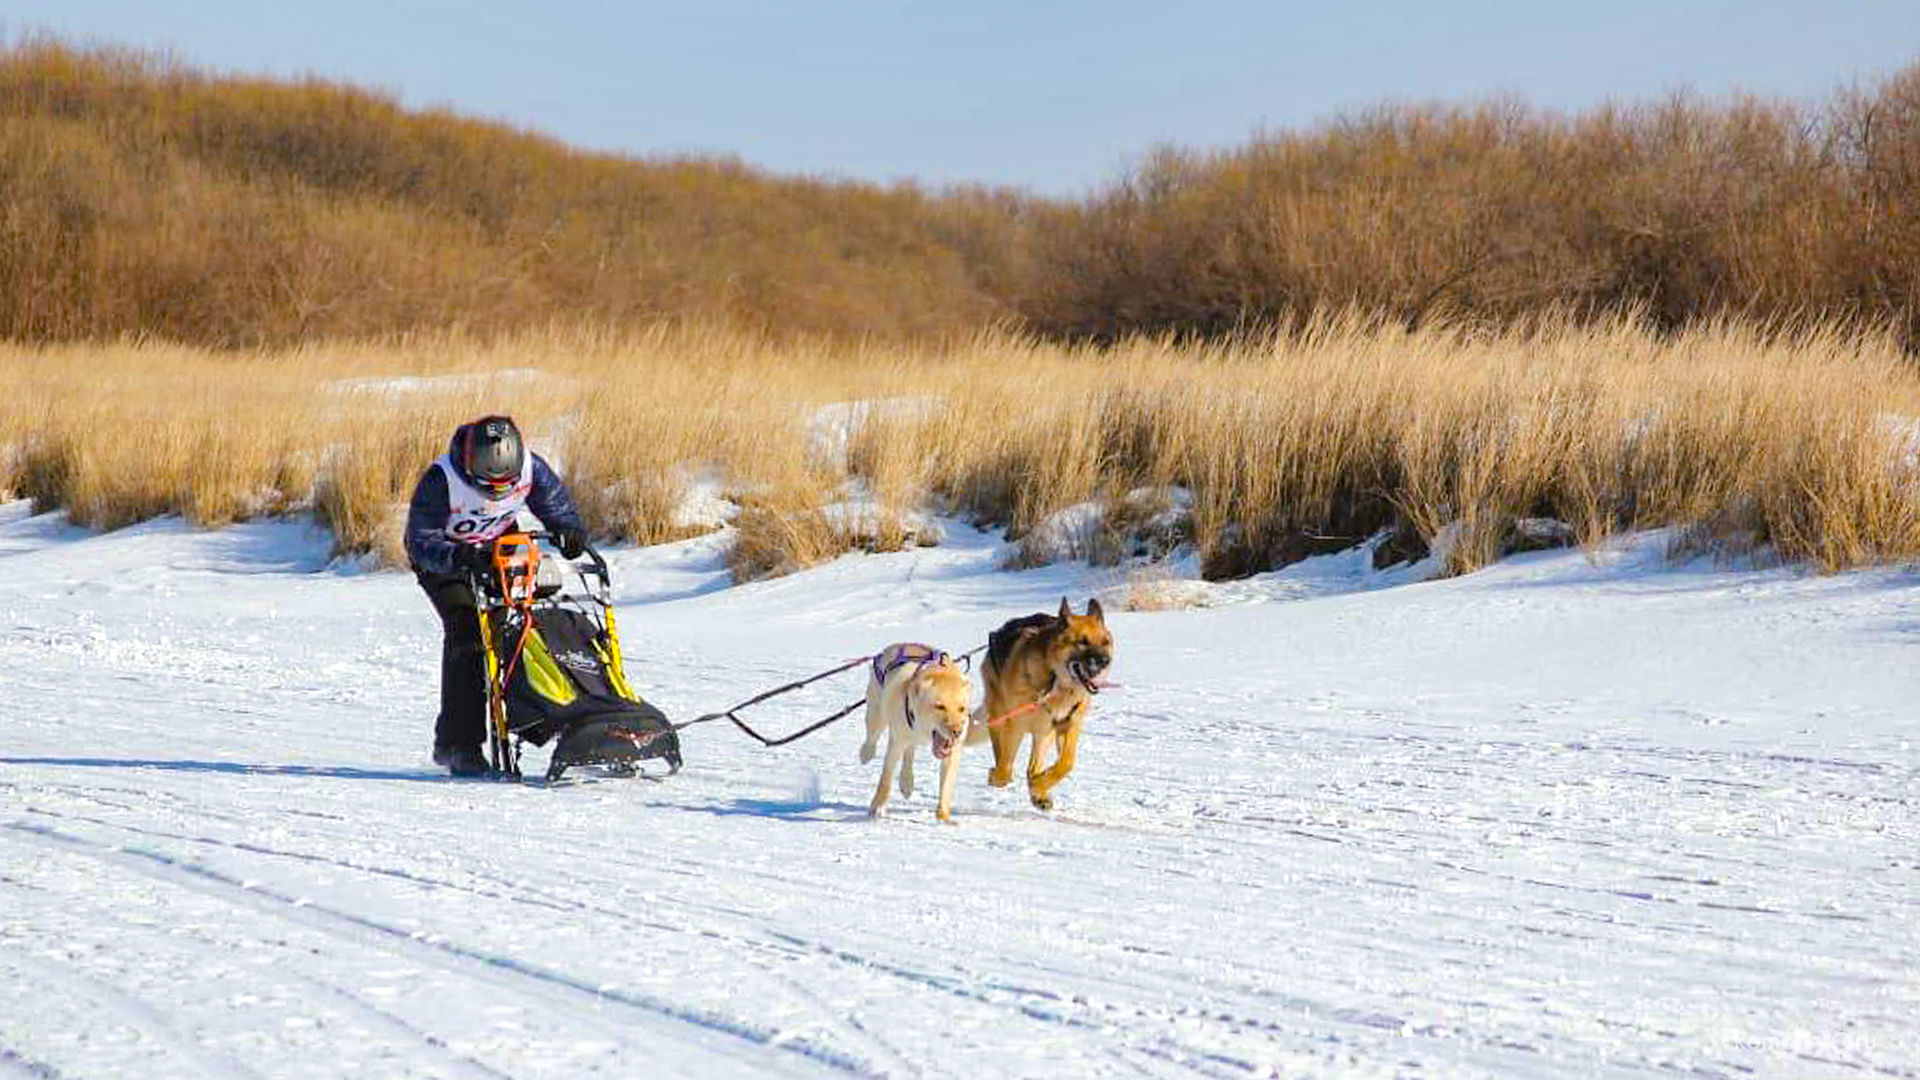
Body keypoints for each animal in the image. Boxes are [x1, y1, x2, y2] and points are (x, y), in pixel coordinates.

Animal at [860, 645, 975, 814]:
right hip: (877, 715)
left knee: (909, 751)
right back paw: (866, 754)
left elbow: (946, 786)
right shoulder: (896, 742)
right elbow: (886, 778)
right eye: (940, 706)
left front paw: (943, 814)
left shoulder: (952, 752)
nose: (957, 731)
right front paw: (878, 805)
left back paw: (906, 782)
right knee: (872, 737)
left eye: (962, 708)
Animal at [967, 595, 1121, 807]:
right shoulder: (1016, 724)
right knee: (1000, 749)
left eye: (1105, 642)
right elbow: (1006, 767)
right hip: (1001, 714)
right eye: (1082, 642)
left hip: (1044, 730)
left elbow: (1066, 763)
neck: (1057, 682)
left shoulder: (1068, 724)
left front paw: (1039, 785)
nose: (1105, 661)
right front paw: (998, 777)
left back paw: (1038, 792)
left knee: (1033, 766)